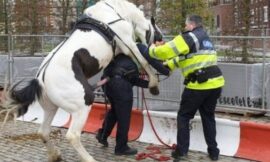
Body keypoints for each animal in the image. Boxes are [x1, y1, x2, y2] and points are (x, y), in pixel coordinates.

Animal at [0, 0, 162, 162]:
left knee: (43, 132)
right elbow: (143, 61)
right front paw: (154, 84)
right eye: (158, 35)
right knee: (72, 135)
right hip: (82, 107)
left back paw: (55, 155)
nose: (158, 44)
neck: (113, 12)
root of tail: (40, 80)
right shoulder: (129, 44)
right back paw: (88, 158)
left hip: (51, 108)